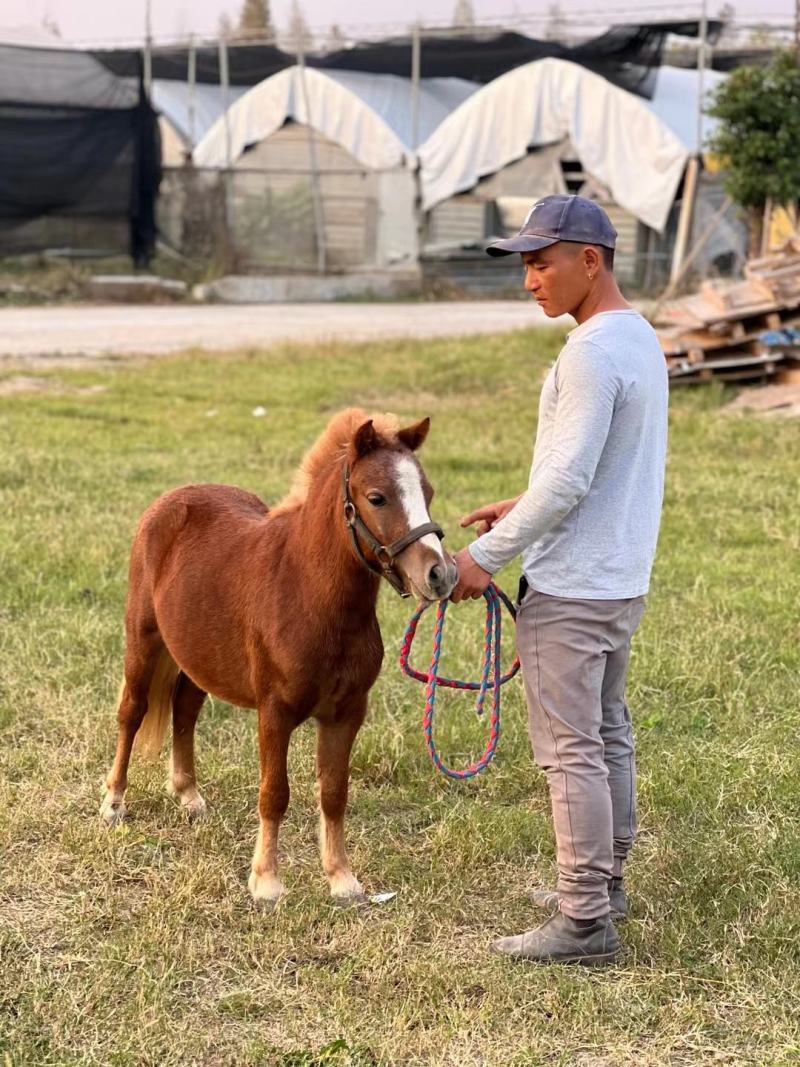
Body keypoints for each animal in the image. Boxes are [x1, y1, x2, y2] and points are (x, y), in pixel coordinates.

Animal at [100, 408, 457, 904]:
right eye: (377, 497)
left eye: (428, 492)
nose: (440, 575)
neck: (309, 596)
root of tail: (173, 500)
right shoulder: (275, 712)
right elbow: (275, 793)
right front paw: (266, 882)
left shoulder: (347, 713)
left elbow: (334, 792)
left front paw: (342, 879)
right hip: (144, 641)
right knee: (132, 712)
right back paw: (114, 802)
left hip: (198, 658)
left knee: (184, 711)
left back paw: (189, 795)